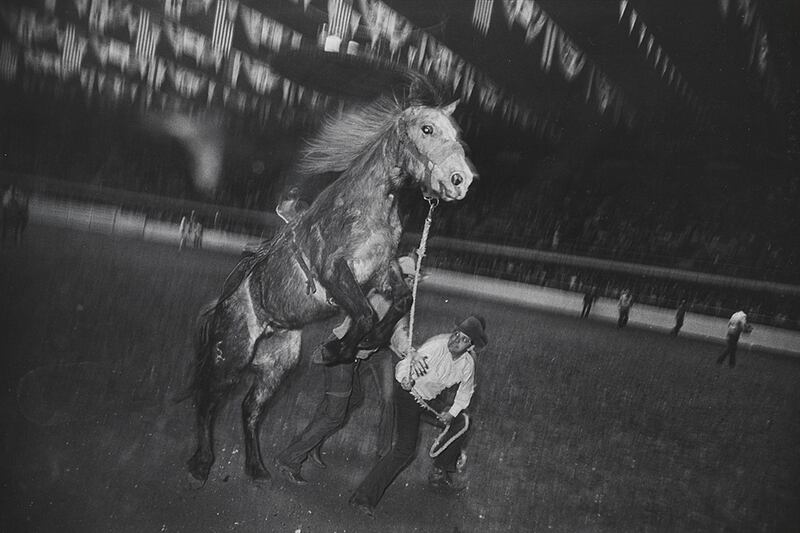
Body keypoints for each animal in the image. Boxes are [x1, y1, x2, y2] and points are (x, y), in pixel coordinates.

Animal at [188, 86, 476, 482]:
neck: (364, 207)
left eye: (457, 131)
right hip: (231, 355)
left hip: (277, 364)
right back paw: (202, 464)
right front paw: (335, 350)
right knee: (209, 399)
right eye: (427, 128)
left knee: (250, 408)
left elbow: (399, 302)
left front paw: (365, 344)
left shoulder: (382, 270)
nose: (461, 179)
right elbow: (366, 314)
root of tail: (224, 304)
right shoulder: (335, 271)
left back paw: (257, 467)